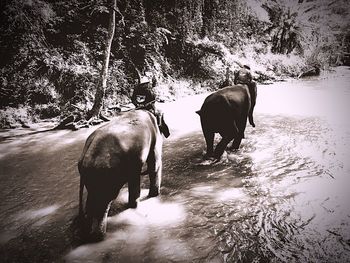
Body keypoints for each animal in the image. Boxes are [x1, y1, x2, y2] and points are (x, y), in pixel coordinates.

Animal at [78, 110, 166, 241]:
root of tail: (86, 153)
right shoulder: (153, 138)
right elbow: (154, 165)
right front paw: (149, 198)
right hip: (105, 176)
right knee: (102, 201)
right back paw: (98, 236)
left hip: (92, 177)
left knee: (92, 200)